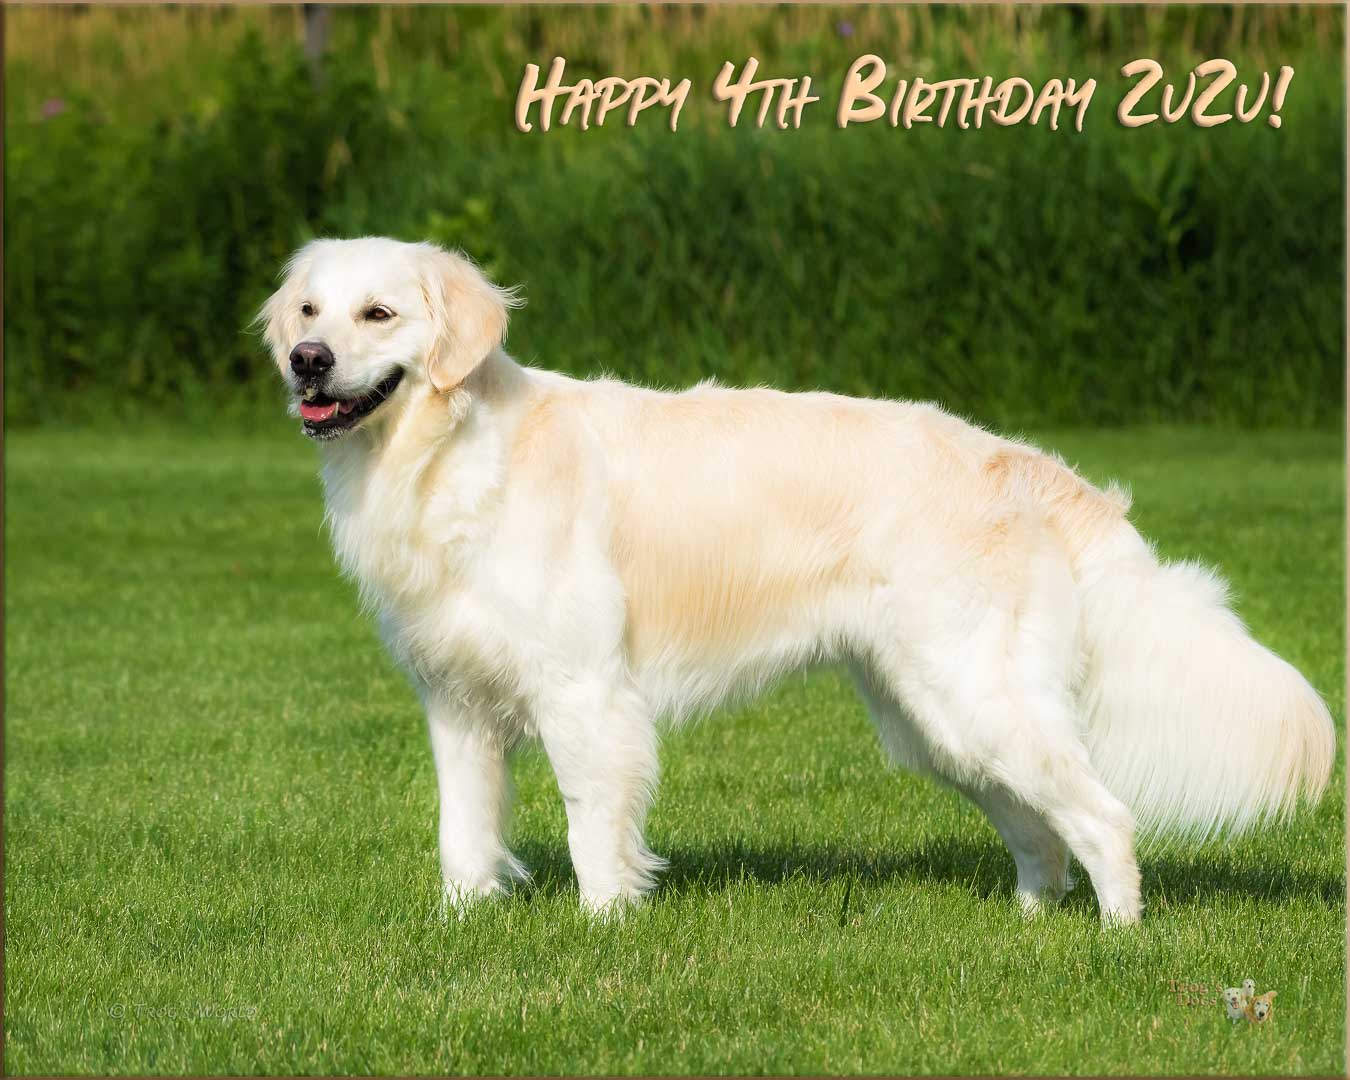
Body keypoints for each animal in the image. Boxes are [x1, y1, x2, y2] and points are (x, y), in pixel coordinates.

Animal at [257, 233, 1333, 918]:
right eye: (310, 308)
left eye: (378, 313)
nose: (306, 360)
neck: (449, 457)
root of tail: (1019, 461)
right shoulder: (456, 701)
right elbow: (464, 835)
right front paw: (463, 926)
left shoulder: (583, 693)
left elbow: (593, 830)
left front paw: (602, 931)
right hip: (934, 723)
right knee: (1043, 837)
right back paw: (1029, 932)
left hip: (973, 698)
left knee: (1105, 822)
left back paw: (1118, 945)